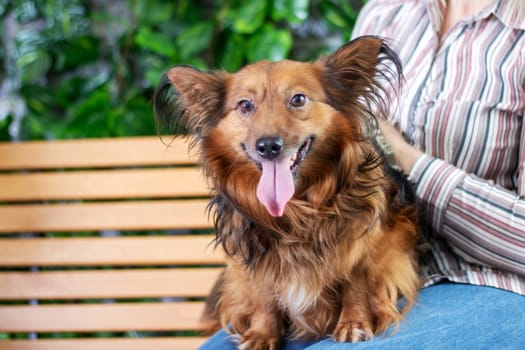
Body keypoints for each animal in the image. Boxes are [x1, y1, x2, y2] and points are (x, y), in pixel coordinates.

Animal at [154, 34, 420, 348]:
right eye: (245, 105)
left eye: (298, 99)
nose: (268, 146)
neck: (296, 211)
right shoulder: (251, 256)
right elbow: (263, 293)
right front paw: (261, 333)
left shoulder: (374, 239)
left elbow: (356, 280)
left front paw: (354, 322)